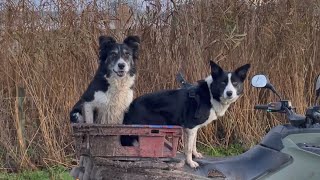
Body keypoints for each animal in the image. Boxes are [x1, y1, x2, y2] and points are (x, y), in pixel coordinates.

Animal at [120, 60, 250, 167]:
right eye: (223, 83)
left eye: (235, 83)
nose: (229, 93)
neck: (210, 95)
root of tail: (130, 106)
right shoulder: (190, 127)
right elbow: (188, 148)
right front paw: (191, 163)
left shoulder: (192, 128)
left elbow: (193, 144)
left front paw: (196, 155)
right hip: (156, 122)